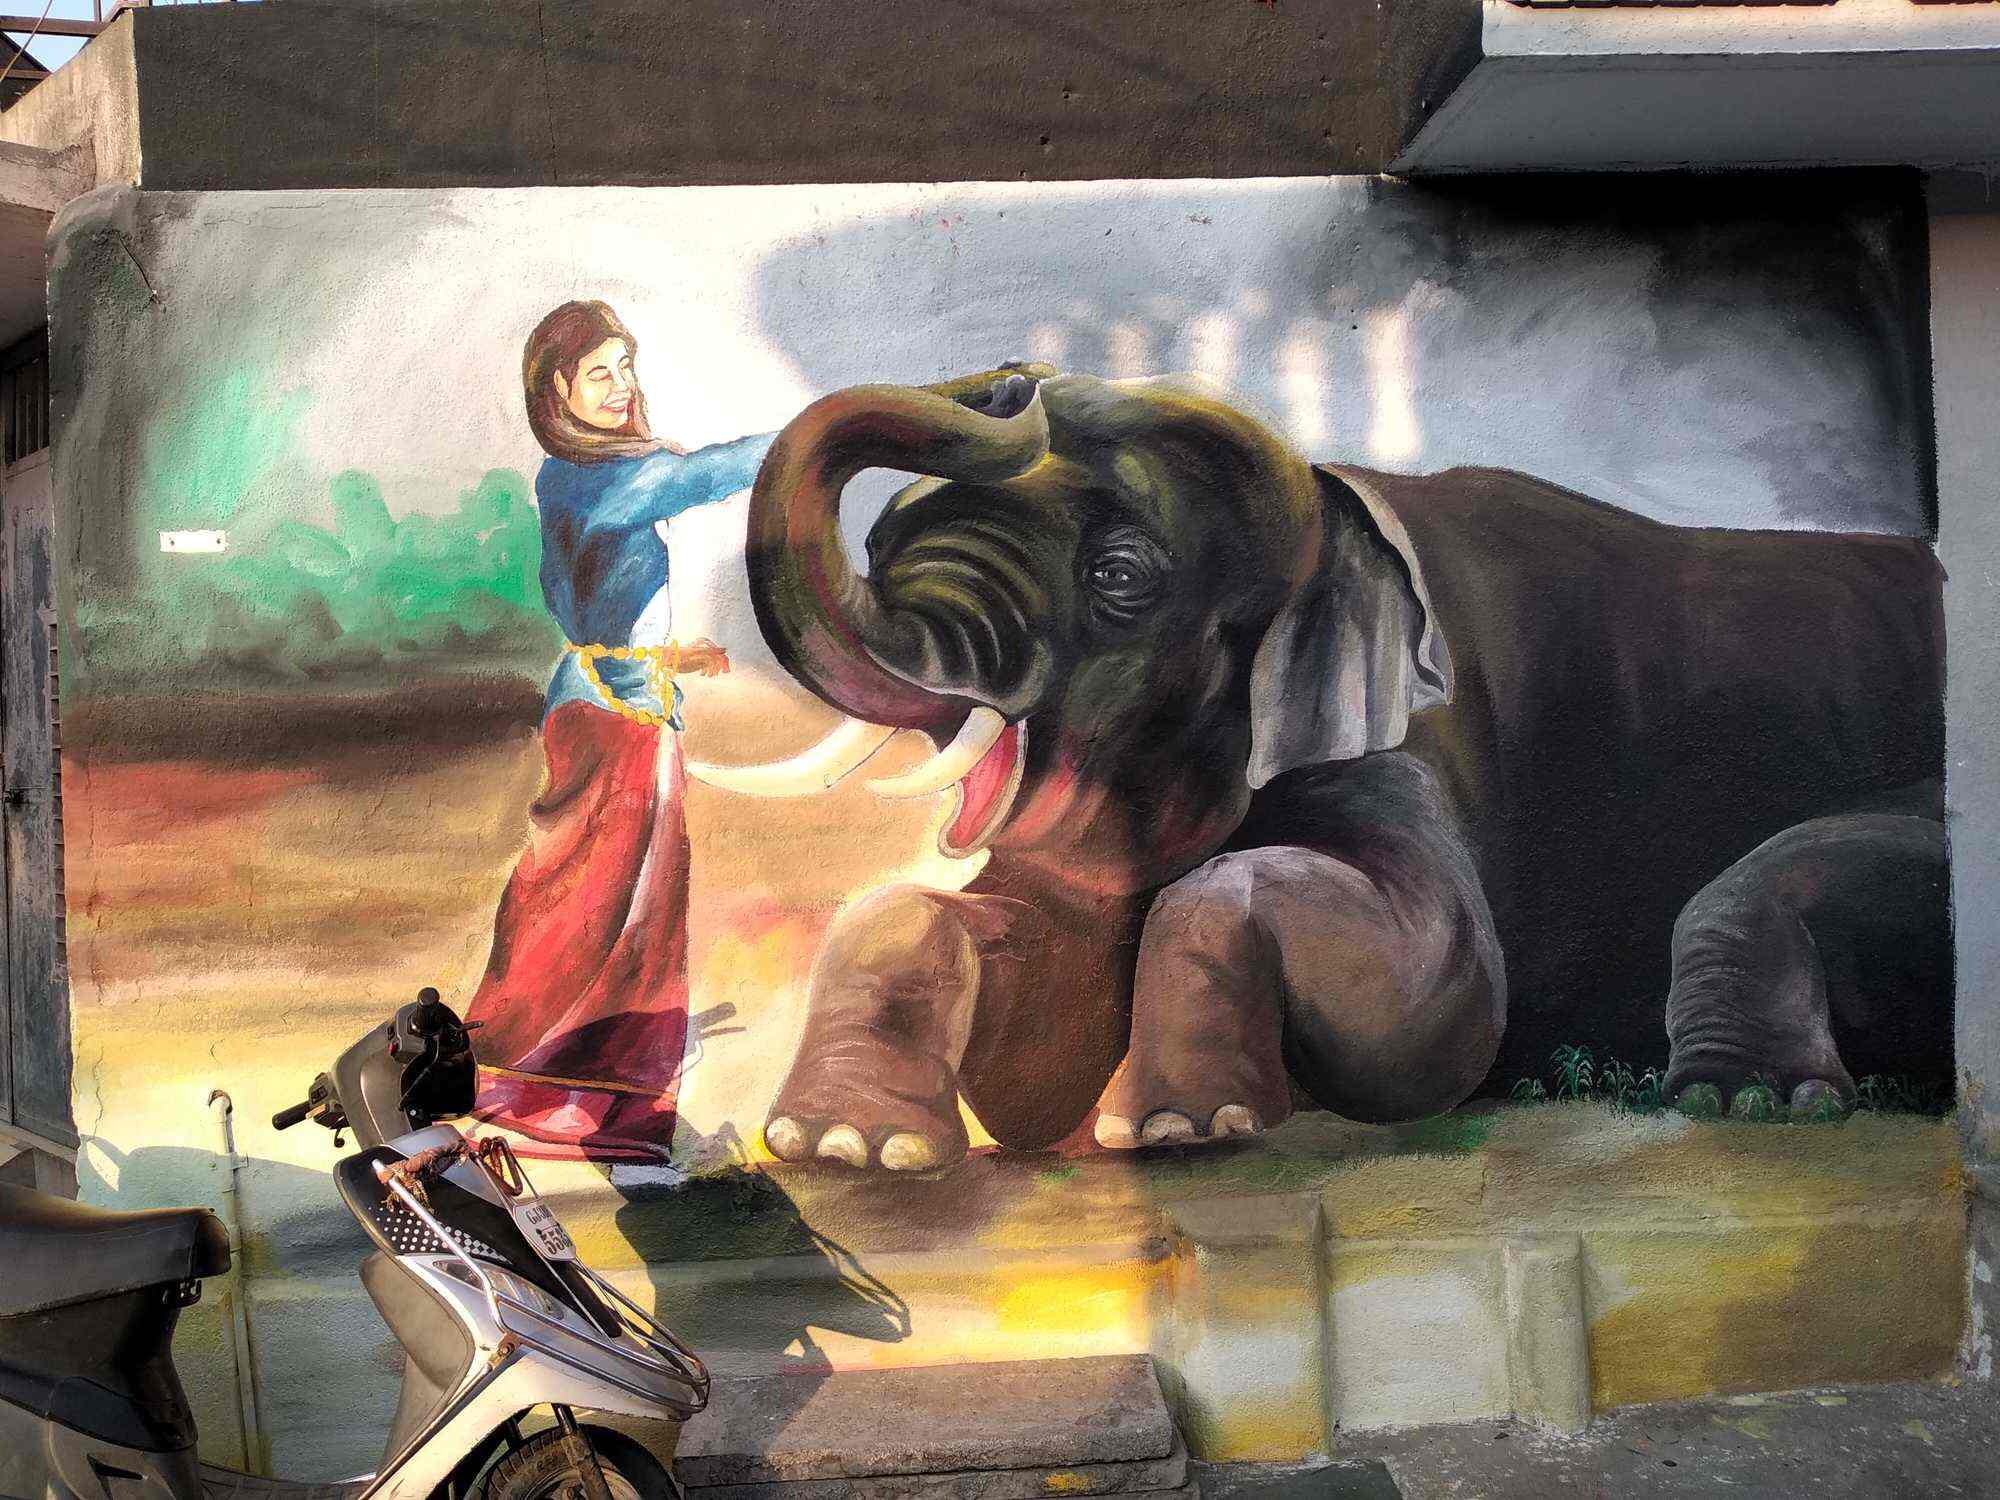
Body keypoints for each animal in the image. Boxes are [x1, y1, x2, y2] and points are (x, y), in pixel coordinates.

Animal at [687, 364, 1951, 1170]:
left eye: (1119, 578)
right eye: (886, 535)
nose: (1010, 384)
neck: (1341, 497)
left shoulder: (1415, 737)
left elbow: (1439, 1002)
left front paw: (1177, 1132)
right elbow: (1014, 1017)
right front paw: (842, 1149)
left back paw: (1748, 1103)